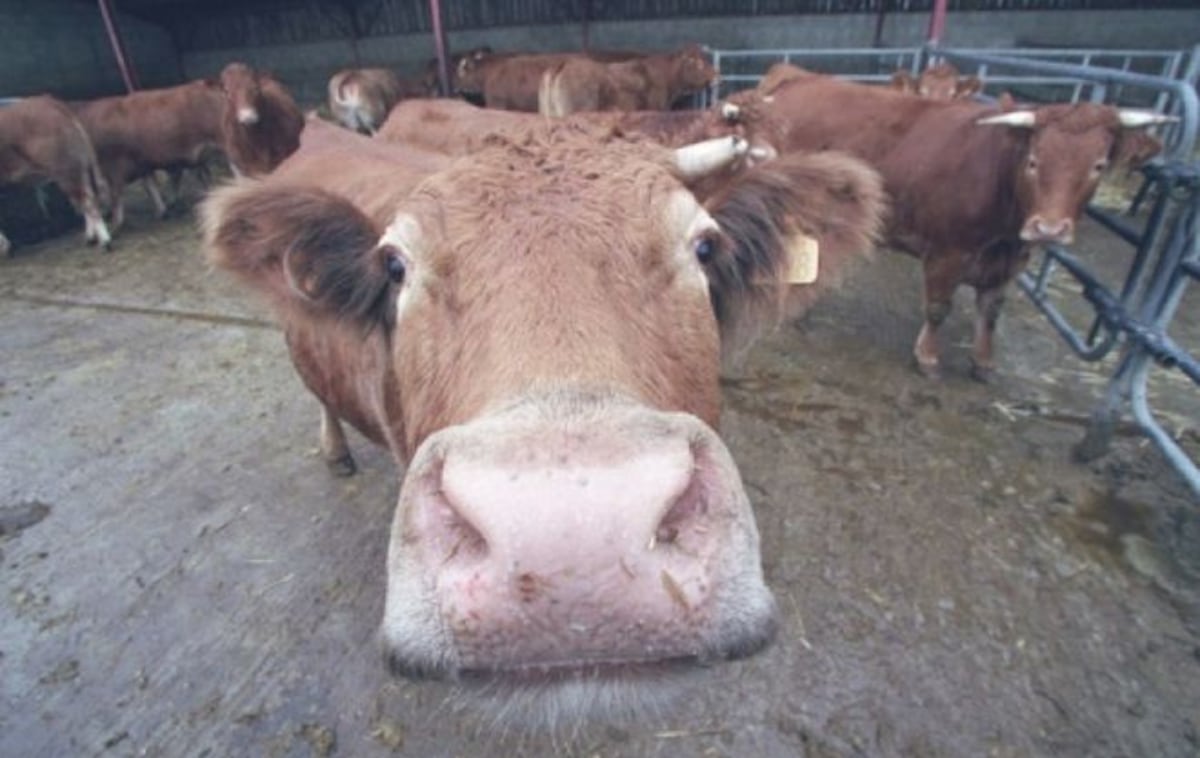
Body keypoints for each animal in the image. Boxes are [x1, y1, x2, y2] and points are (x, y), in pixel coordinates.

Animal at [0, 95, 112, 255]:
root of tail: (49, 101)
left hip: (66, 170)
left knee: (88, 202)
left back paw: (105, 241)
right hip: (79, 167)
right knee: (85, 198)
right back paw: (91, 238)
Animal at [750, 70, 1172, 379]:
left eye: (1098, 166)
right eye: (1034, 161)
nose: (1049, 229)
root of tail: (798, 82)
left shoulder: (1011, 260)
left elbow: (992, 310)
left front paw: (983, 361)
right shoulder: (947, 252)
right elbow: (939, 307)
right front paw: (927, 357)